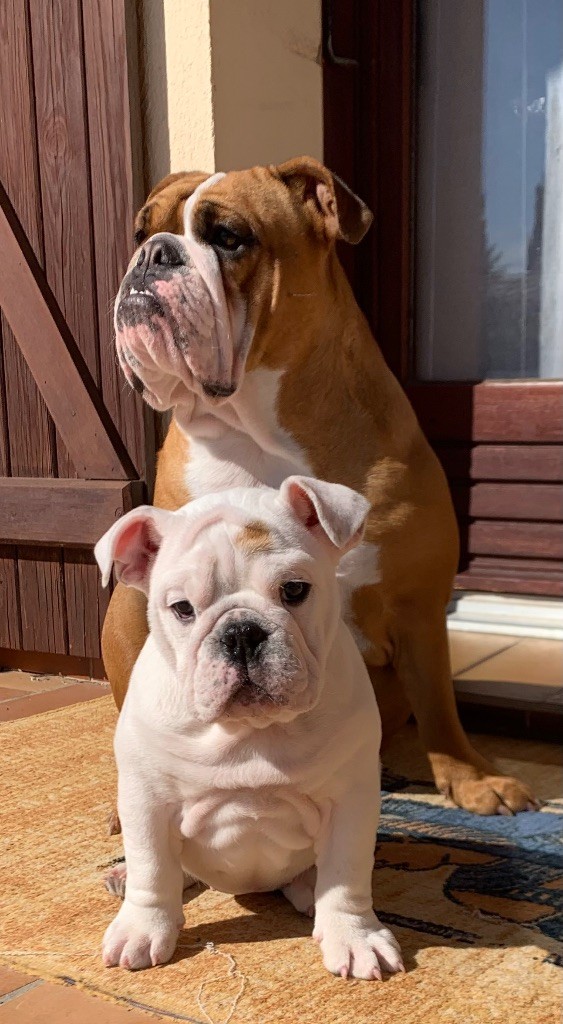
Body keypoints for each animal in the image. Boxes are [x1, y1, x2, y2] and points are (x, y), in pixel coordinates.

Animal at [95, 476, 404, 980]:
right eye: (182, 608)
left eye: (294, 590)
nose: (240, 633)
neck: (251, 730)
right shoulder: (146, 799)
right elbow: (153, 868)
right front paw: (142, 929)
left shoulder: (351, 800)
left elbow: (346, 875)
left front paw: (355, 936)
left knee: (320, 878)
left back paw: (311, 890)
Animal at [102, 156, 537, 816]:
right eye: (139, 231)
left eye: (228, 237)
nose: (151, 254)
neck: (255, 431)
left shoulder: (418, 605)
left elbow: (439, 705)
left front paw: (470, 776)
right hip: (122, 609)